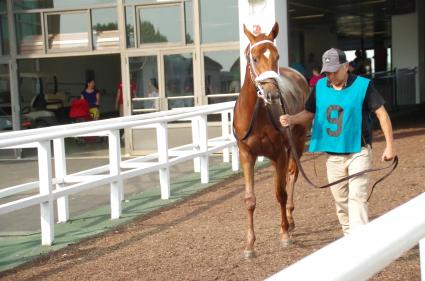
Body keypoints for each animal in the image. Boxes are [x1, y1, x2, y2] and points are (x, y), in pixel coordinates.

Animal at [234, 23, 306, 258]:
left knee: (292, 176)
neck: (258, 113)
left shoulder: (279, 153)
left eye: (277, 55)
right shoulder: (246, 154)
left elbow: (280, 193)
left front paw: (284, 234)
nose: (272, 93)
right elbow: (249, 199)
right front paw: (249, 245)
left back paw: (290, 220)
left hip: (297, 141)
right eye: (254, 58)